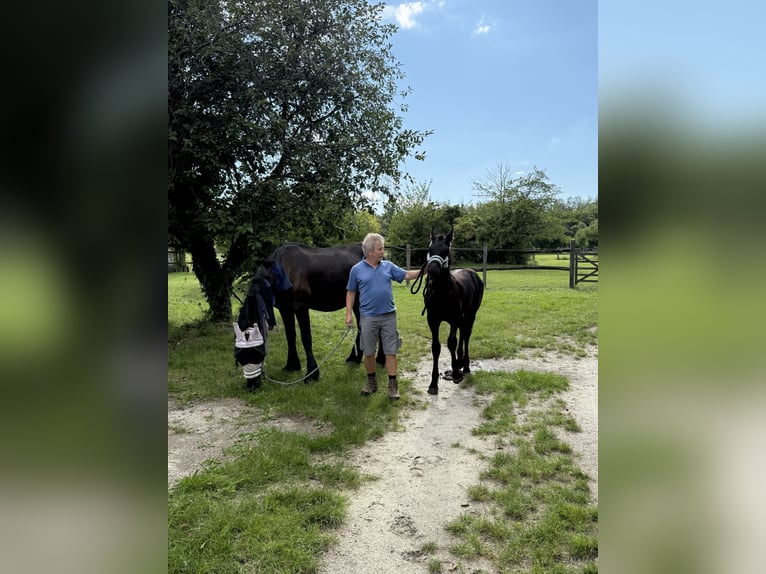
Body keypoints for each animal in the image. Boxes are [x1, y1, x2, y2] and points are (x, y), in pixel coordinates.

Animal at [261, 242, 385, 381]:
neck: (283, 271)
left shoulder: (301, 307)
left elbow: (306, 338)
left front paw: (311, 374)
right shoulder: (285, 308)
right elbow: (290, 336)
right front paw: (291, 366)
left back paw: (380, 360)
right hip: (357, 302)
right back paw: (354, 358)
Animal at [415, 227, 484, 395]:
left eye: (446, 250)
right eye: (430, 249)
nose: (433, 270)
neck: (442, 293)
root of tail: (472, 272)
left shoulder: (453, 319)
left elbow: (451, 342)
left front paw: (456, 375)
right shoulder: (433, 320)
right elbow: (436, 347)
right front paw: (433, 383)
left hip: (471, 315)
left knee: (466, 335)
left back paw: (465, 367)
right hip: (462, 317)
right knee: (463, 334)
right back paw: (459, 363)